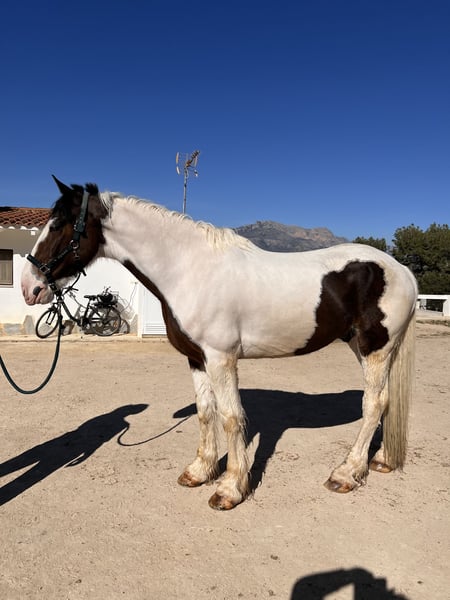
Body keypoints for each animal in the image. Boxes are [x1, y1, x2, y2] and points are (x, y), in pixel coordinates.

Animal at [21, 177, 418, 510]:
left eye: (58, 225)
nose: (30, 287)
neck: (189, 270)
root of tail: (402, 270)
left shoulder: (221, 358)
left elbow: (230, 417)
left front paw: (230, 488)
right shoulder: (196, 358)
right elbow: (204, 412)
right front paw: (199, 471)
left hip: (375, 348)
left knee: (374, 403)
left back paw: (346, 473)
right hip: (362, 347)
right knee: (383, 403)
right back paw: (380, 461)